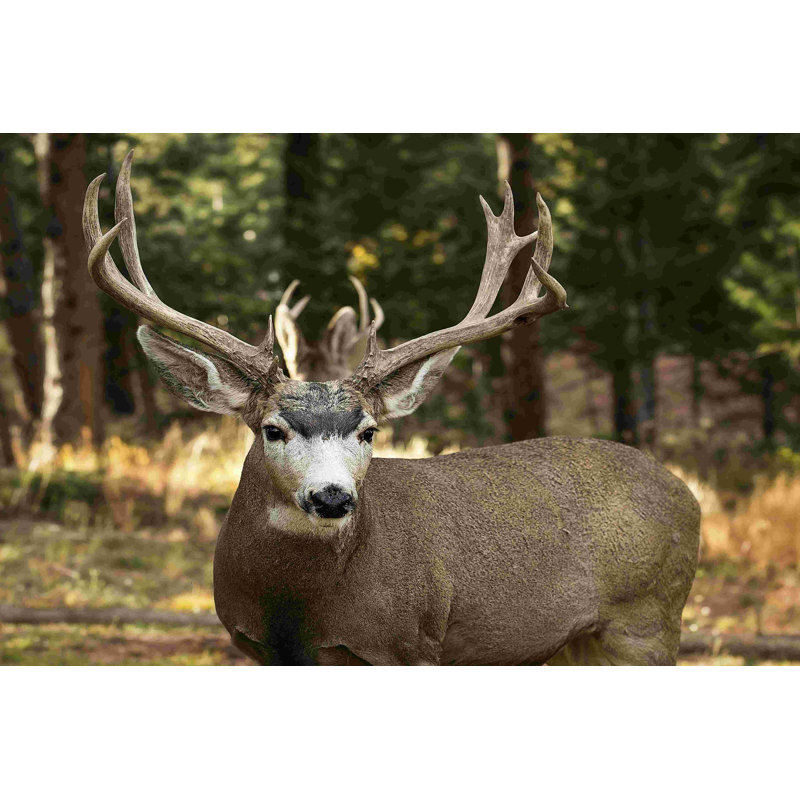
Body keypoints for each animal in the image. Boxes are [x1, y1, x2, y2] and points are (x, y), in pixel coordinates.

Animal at [84, 151, 700, 665]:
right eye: (273, 430)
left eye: (369, 431)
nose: (332, 497)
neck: (297, 619)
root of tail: (686, 491)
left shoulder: (411, 642)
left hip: (649, 618)